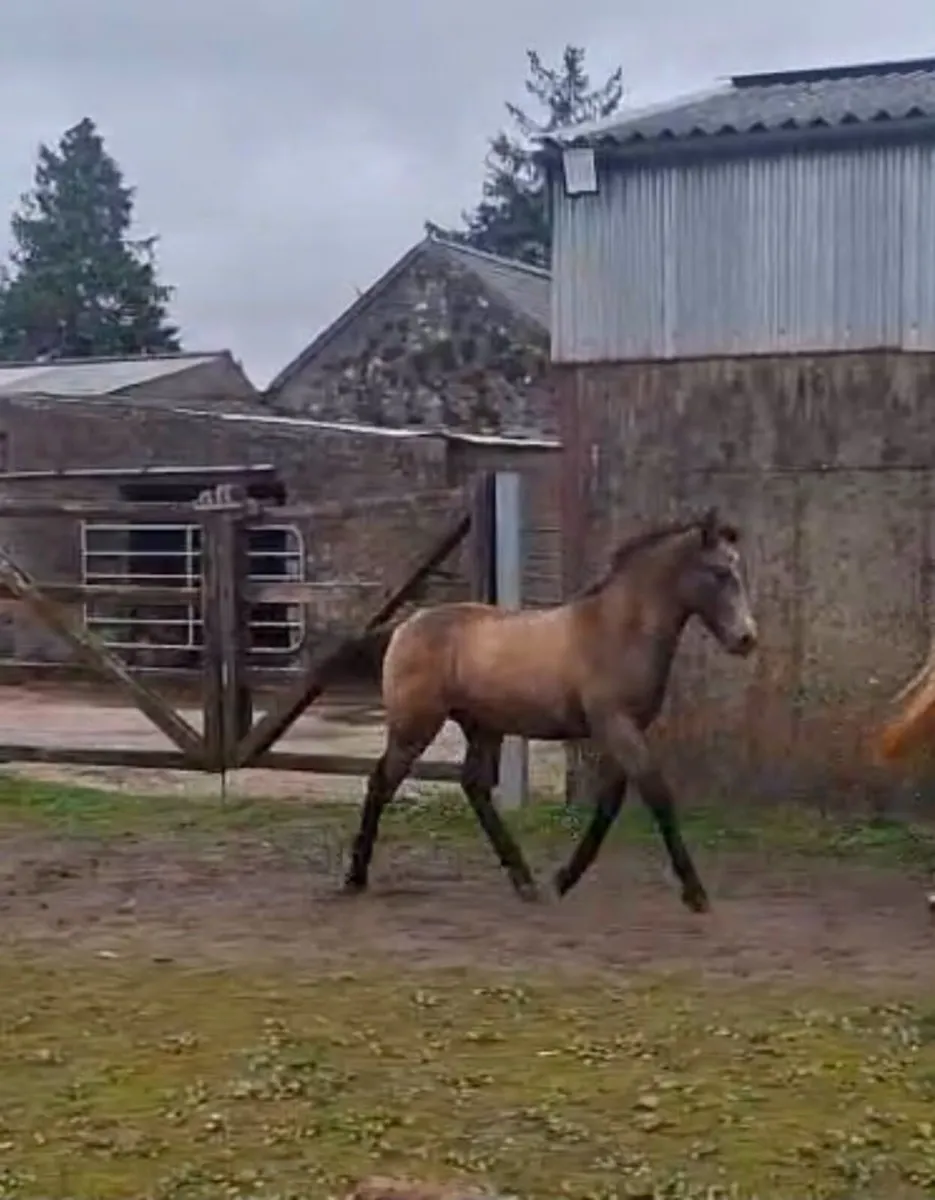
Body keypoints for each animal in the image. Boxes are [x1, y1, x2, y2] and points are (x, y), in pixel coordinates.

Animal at [327, 506, 758, 911]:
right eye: (719, 572)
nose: (746, 638)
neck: (616, 629)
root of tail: (406, 626)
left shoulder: (626, 729)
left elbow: (610, 802)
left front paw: (564, 879)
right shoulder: (616, 725)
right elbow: (657, 795)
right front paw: (695, 893)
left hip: (483, 726)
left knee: (474, 786)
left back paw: (524, 881)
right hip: (414, 726)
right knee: (381, 783)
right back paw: (355, 878)